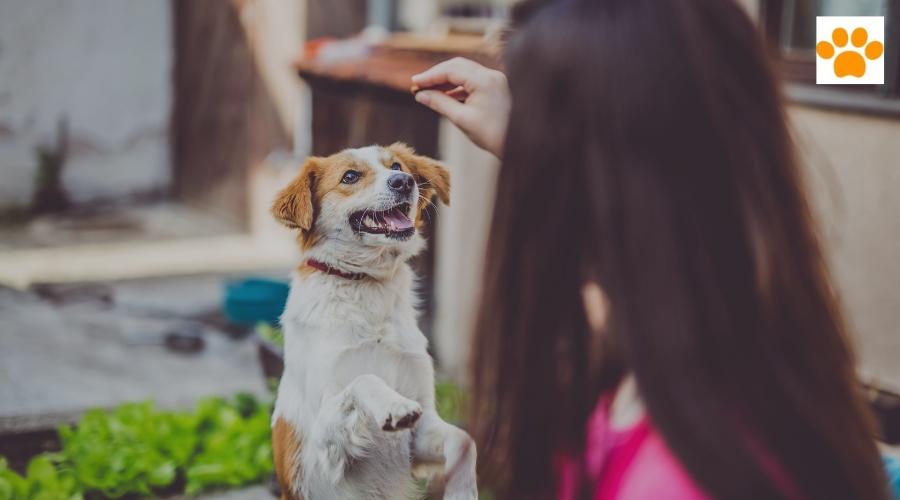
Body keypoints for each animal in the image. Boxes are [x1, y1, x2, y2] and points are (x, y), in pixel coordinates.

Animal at [268, 142, 478, 500]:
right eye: (350, 176)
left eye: (396, 166)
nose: (404, 181)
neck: (365, 285)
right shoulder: (322, 442)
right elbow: (364, 379)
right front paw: (392, 405)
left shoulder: (421, 431)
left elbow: (466, 441)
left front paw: (463, 492)